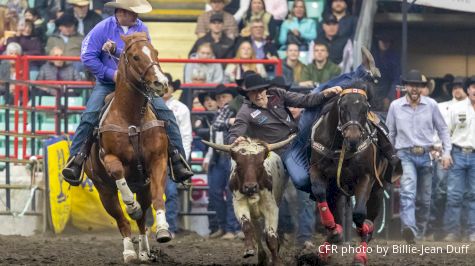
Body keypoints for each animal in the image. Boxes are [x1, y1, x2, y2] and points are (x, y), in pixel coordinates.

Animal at [85, 32, 171, 262]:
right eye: (135, 57)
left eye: (155, 52)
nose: (161, 82)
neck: (131, 118)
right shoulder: (109, 158)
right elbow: (117, 172)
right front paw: (132, 206)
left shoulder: (158, 160)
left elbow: (158, 199)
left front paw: (163, 230)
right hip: (104, 191)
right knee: (122, 220)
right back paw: (130, 251)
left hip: (142, 186)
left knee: (142, 222)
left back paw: (144, 251)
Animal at [308, 82, 390, 264]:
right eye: (343, 107)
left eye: (365, 108)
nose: (353, 138)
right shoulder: (316, 169)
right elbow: (319, 193)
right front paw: (334, 230)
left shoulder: (367, 177)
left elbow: (359, 214)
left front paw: (364, 230)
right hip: (336, 190)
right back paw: (327, 246)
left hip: (377, 190)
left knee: (369, 215)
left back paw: (362, 249)